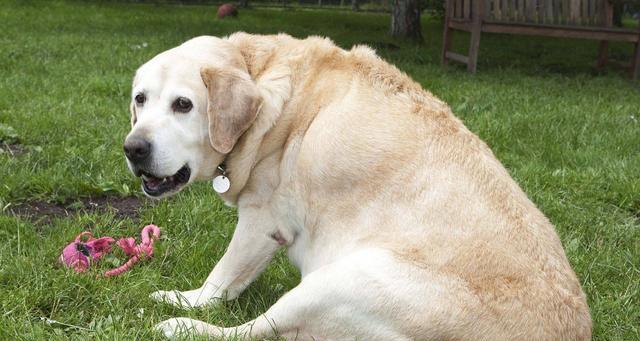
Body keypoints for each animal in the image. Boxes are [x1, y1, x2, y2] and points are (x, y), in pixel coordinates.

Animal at [124, 33, 592, 338]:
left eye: (183, 105)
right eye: (140, 99)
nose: (133, 148)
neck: (261, 68)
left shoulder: (261, 220)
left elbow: (221, 280)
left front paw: (191, 300)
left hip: (340, 280)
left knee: (250, 331)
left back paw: (180, 323)